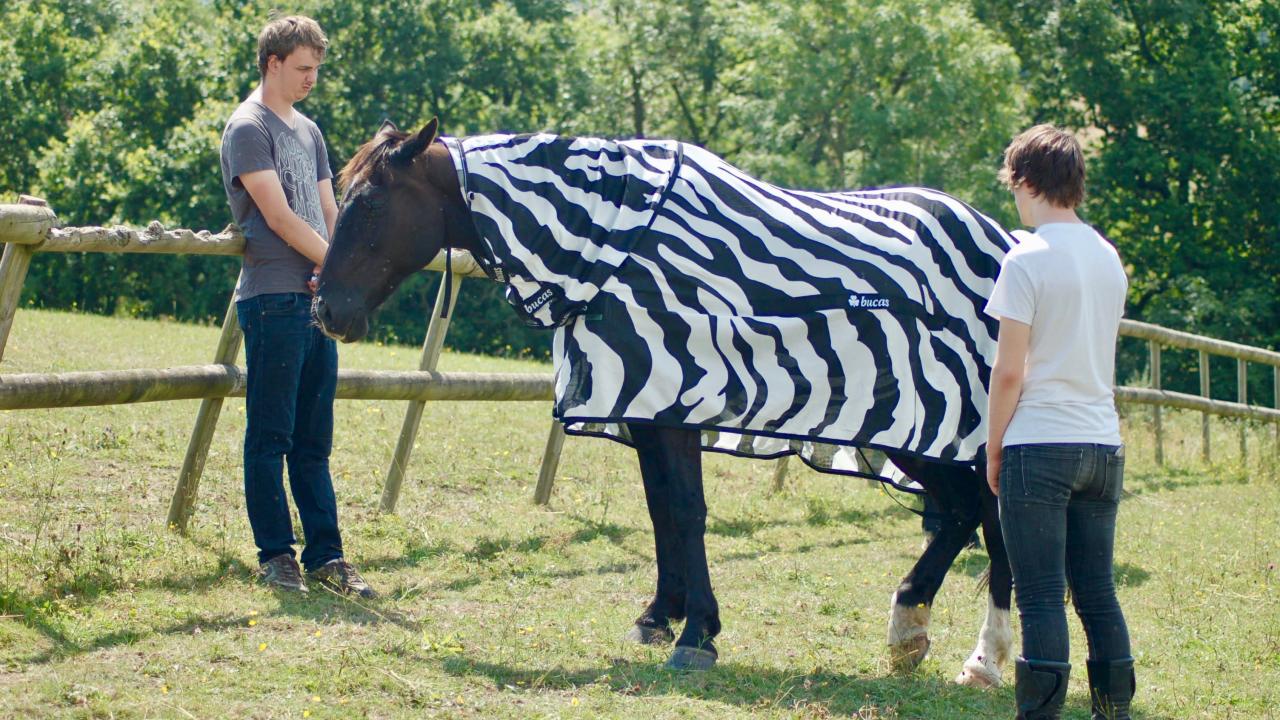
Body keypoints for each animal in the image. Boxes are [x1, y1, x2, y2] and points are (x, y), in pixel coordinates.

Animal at [314, 118, 1013, 683]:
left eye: (370, 203)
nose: (326, 312)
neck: (616, 250)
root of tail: (998, 239)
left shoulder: (677, 400)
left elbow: (686, 510)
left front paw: (698, 633)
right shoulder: (646, 408)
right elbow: (659, 512)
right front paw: (659, 616)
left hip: (944, 428)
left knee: (985, 518)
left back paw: (973, 652)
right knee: (966, 514)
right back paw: (923, 635)